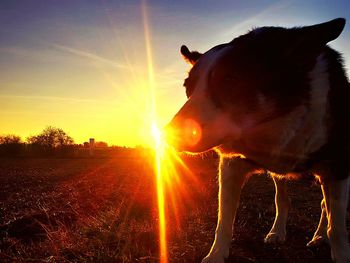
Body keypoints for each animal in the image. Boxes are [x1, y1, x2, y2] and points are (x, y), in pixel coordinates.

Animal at [166, 17, 350, 262]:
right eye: (188, 88)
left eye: (231, 80)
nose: (170, 134)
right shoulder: (232, 164)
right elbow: (224, 218)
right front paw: (216, 254)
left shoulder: (339, 165)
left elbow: (336, 225)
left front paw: (339, 250)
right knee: (283, 198)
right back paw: (278, 232)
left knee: (324, 206)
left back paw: (319, 236)